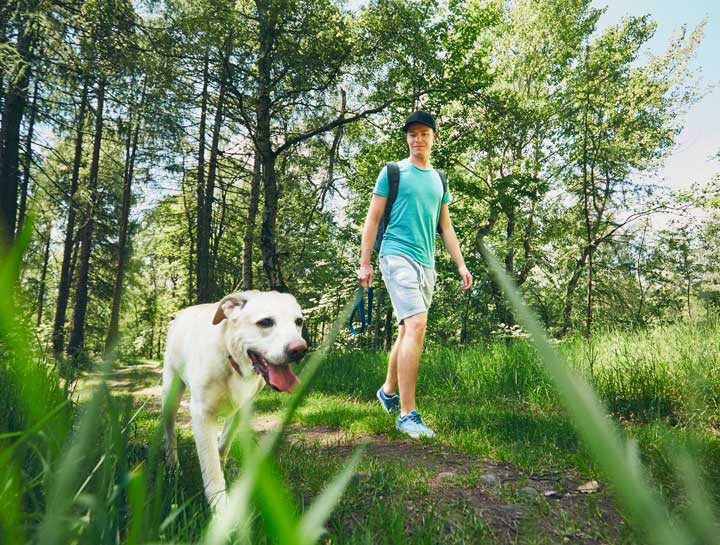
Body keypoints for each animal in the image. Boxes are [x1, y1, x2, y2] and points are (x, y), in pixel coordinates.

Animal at [162, 292, 308, 508]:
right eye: (265, 322)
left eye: (299, 321)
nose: (299, 349)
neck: (233, 362)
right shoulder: (202, 414)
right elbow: (210, 465)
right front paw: (220, 508)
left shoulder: (242, 408)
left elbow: (223, 446)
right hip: (170, 396)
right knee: (170, 433)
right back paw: (172, 467)